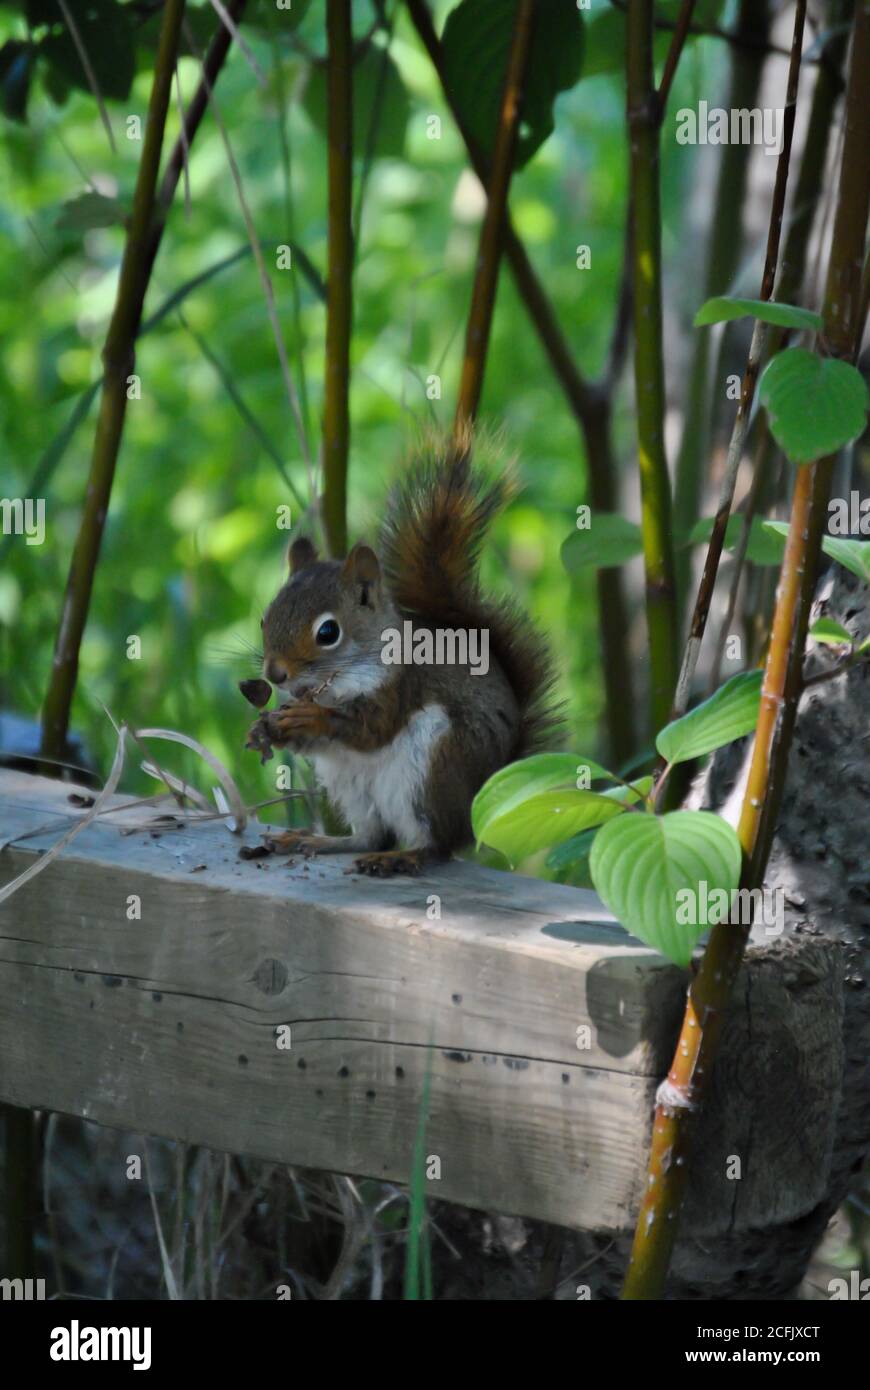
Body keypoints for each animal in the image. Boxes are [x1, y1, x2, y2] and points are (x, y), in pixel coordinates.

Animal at [245, 433, 555, 872]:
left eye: (328, 632)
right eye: (265, 619)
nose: (275, 675)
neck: (339, 682)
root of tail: (474, 815)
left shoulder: (400, 687)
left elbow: (369, 729)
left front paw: (313, 717)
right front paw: (265, 729)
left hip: (431, 770)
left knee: (435, 844)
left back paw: (401, 857)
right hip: (352, 789)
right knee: (370, 835)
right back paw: (318, 841)